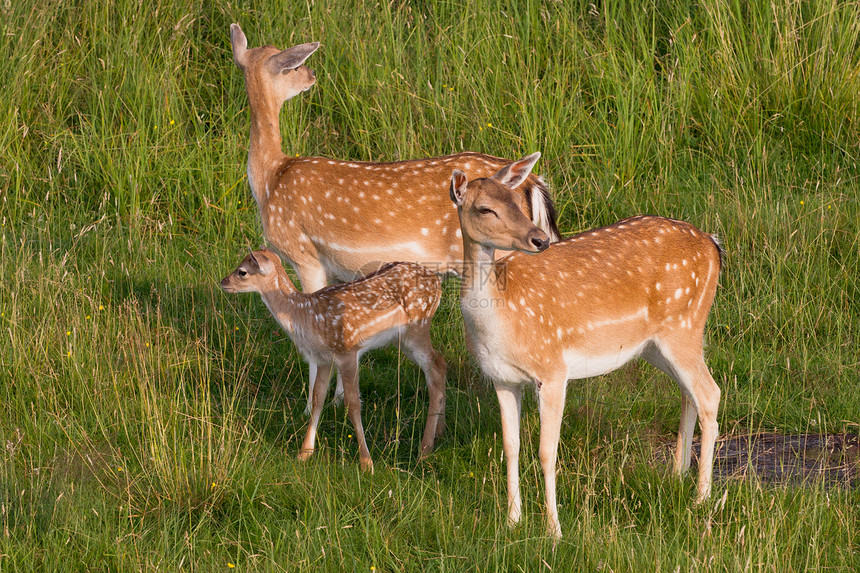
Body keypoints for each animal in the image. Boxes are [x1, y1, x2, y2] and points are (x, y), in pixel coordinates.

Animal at [218, 249, 446, 470]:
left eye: (242, 271)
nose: (223, 281)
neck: (305, 316)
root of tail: (436, 281)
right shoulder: (323, 358)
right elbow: (318, 397)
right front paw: (304, 453)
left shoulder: (347, 351)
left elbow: (353, 404)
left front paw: (366, 463)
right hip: (401, 338)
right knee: (441, 363)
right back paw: (439, 433)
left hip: (417, 328)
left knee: (435, 369)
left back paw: (424, 450)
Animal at [232, 22, 560, 414]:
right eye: (291, 65)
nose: (311, 74)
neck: (270, 179)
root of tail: (533, 183)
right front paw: (339, 397)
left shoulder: (303, 252)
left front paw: (318, 404)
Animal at [450, 152, 724, 536]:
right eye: (485, 209)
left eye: (518, 202)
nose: (538, 239)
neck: (499, 324)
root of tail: (713, 245)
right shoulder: (502, 378)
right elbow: (511, 446)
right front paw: (512, 522)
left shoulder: (552, 369)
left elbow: (546, 451)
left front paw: (554, 530)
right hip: (657, 344)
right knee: (690, 393)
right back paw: (676, 476)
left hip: (684, 326)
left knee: (710, 392)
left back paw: (702, 498)